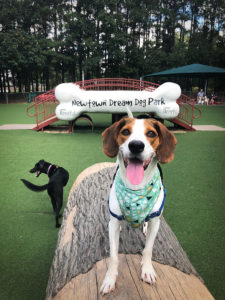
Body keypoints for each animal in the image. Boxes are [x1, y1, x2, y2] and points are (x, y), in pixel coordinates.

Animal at [100, 116, 178, 294]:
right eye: (125, 131)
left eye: (151, 133)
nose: (136, 145)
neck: (136, 189)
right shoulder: (113, 222)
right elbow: (113, 256)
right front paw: (110, 278)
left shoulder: (156, 221)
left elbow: (148, 249)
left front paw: (147, 270)